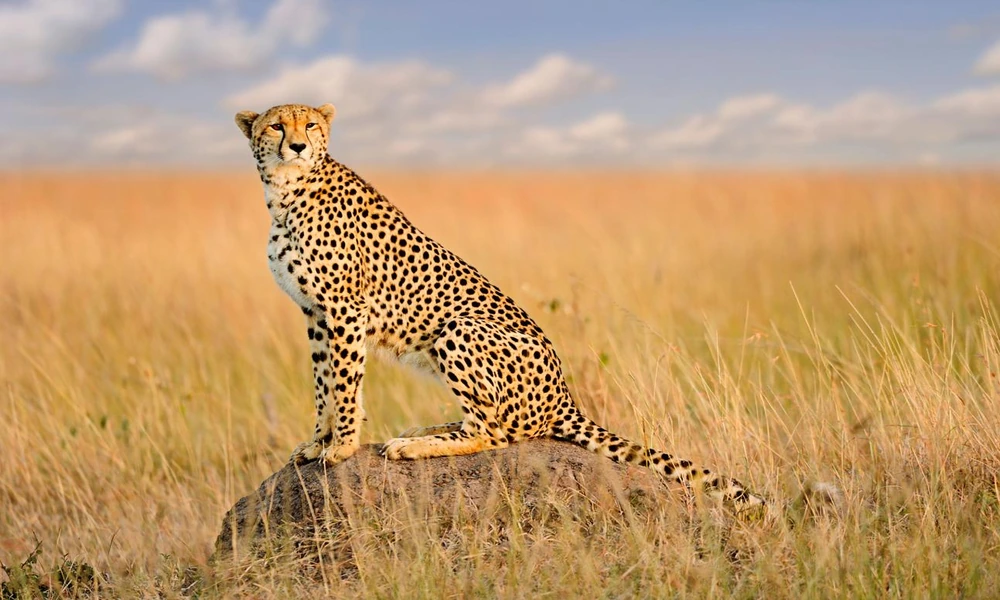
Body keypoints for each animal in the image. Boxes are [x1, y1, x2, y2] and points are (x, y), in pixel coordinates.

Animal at [234, 102, 767, 511]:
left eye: (310, 125)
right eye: (276, 126)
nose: (297, 146)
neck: (286, 192)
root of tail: (565, 397)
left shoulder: (344, 309)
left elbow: (343, 385)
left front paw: (341, 447)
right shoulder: (315, 313)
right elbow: (324, 383)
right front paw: (317, 442)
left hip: (459, 328)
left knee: (493, 432)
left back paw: (413, 446)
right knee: (483, 420)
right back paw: (423, 430)